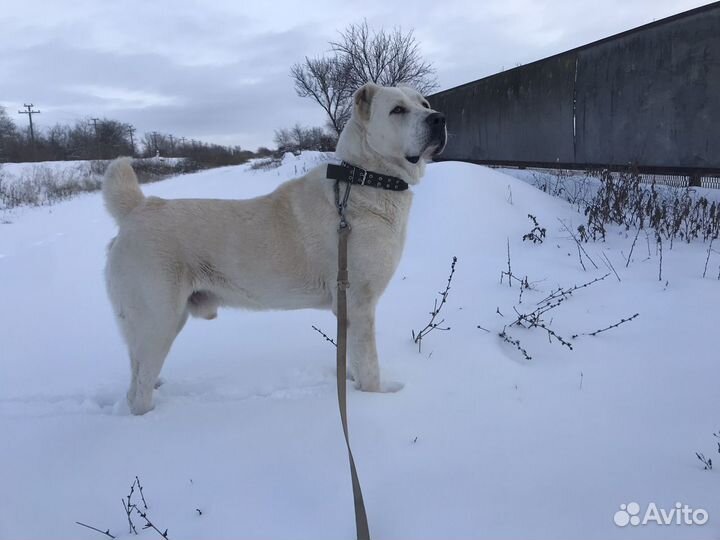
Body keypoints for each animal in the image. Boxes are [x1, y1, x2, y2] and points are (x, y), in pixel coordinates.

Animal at [105, 83, 448, 414]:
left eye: (425, 104)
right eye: (398, 110)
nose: (439, 119)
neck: (366, 178)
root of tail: (137, 208)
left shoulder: (347, 311)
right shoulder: (359, 304)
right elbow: (370, 368)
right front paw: (375, 398)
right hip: (158, 322)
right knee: (138, 393)